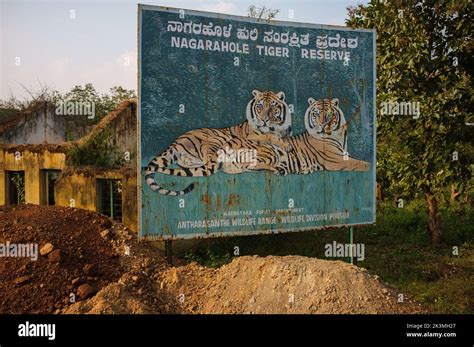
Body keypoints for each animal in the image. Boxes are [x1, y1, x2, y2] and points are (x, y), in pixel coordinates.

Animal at [144, 90, 292, 196]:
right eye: (260, 106)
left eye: (272, 107)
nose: (264, 120)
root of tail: (176, 143)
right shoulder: (254, 136)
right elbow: (270, 136)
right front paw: (286, 146)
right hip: (216, 140)